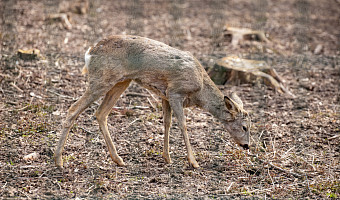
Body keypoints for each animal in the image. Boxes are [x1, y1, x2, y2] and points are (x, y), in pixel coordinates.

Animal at [55, 34, 250, 169]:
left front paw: (167, 157)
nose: (247, 145)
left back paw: (118, 159)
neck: (200, 90)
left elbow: (167, 123)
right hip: (102, 79)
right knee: (73, 108)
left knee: (101, 113)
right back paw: (58, 160)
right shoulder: (175, 92)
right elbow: (183, 124)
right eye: (244, 127)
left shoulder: (165, 96)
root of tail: (90, 52)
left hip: (121, 81)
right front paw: (193, 162)